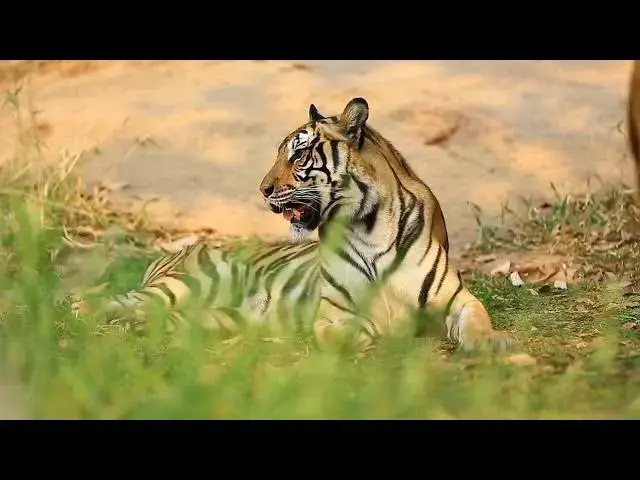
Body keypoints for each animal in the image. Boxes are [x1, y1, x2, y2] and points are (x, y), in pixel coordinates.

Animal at [80, 97, 515, 354]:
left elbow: (477, 320)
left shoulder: (457, 298)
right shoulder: (330, 314)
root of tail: (176, 250)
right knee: (104, 301)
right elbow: (351, 329)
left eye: (299, 154)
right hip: (183, 284)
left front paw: (495, 342)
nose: (263, 189)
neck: (368, 224)